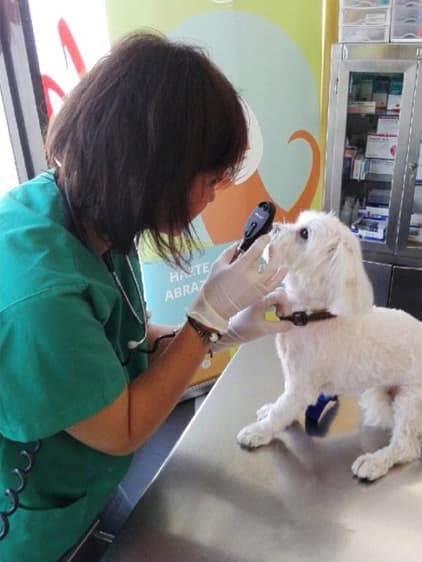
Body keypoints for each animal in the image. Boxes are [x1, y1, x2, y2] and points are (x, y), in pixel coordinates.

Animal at [237, 208, 422, 480]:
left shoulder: (302, 385)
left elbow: (282, 410)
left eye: (304, 233)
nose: (272, 228)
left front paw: (259, 431)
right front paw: (270, 410)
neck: (312, 315)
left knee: (406, 446)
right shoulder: (294, 380)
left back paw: (375, 461)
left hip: (411, 399)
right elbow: (283, 404)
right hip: (379, 394)